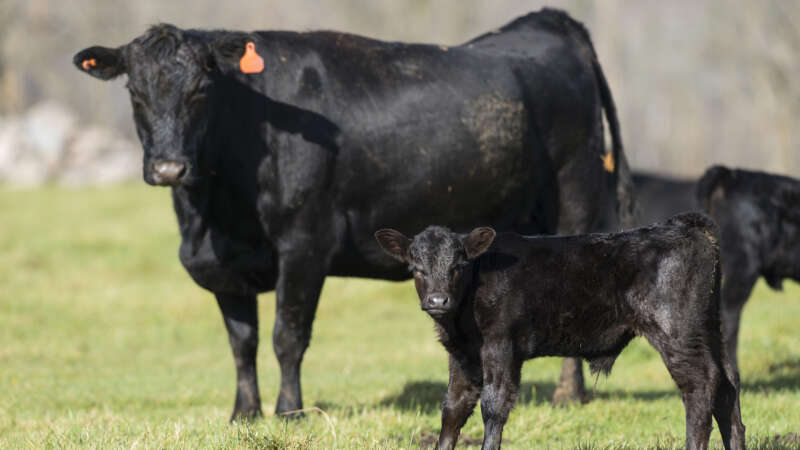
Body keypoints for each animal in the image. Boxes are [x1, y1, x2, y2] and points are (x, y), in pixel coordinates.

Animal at [76, 8, 636, 420]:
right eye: (135, 94)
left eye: (200, 91)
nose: (168, 167)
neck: (213, 216)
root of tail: (549, 20)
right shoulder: (222, 265)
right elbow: (242, 341)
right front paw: (244, 413)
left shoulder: (305, 245)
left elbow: (287, 336)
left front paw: (289, 411)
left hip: (575, 199)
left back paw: (569, 394)